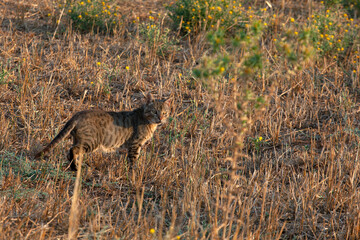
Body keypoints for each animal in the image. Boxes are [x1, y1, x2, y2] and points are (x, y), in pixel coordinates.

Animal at [35, 94, 171, 172]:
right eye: (154, 111)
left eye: (164, 112)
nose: (160, 118)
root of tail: (77, 114)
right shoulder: (135, 144)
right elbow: (133, 160)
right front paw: (133, 173)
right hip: (91, 142)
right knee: (73, 150)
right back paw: (75, 168)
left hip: (80, 139)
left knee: (71, 152)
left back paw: (74, 166)